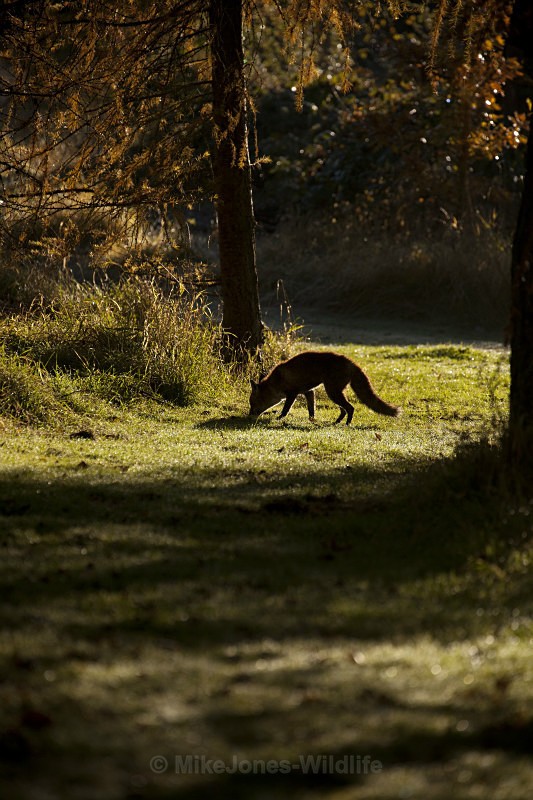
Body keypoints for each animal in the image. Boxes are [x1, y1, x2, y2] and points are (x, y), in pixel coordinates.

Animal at [249, 350, 400, 425]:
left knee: (350, 408)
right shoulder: (308, 391)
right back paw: (337, 422)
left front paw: (279, 419)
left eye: (252, 403)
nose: (249, 415)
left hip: (332, 392)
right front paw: (311, 420)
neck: (276, 382)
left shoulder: (292, 393)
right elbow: (311, 410)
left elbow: (286, 409)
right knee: (344, 409)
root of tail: (350, 362)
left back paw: (347, 424)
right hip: (335, 392)